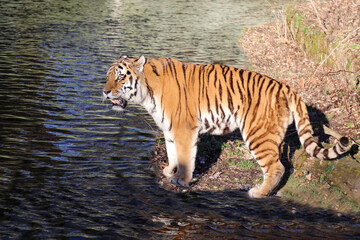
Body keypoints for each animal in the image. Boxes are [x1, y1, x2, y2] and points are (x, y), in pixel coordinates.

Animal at [102, 55, 350, 198]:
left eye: (120, 77)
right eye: (107, 76)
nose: (104, 91)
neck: (147, 92)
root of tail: (287, 87)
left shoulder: (184, 129)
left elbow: (185, 158)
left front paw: (181, 180)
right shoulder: (169, 129)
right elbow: (172, 153)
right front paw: (169, 171)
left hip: (257, 134)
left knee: (276, 167)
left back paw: (259, 193)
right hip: (273, 136)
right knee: (282, 162)